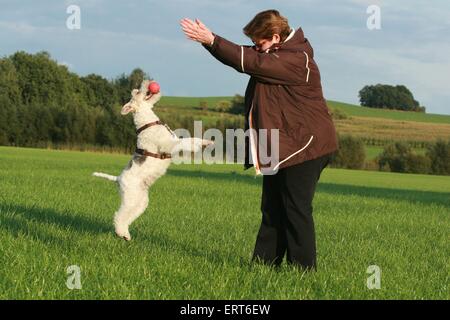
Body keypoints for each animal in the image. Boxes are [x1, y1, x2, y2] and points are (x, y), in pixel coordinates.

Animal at [93, 80, 213, 240]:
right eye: (138, 92)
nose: (148, 83)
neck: (148, 122)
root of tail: (117, 178)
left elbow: (192, 140)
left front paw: (206, 142)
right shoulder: (169, 145)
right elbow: (187, 141)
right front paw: (200, 146)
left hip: (140, 201)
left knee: (128, 217)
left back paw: (126, 234)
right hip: (131, 198)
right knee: (119, 215)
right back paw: (121, 233)